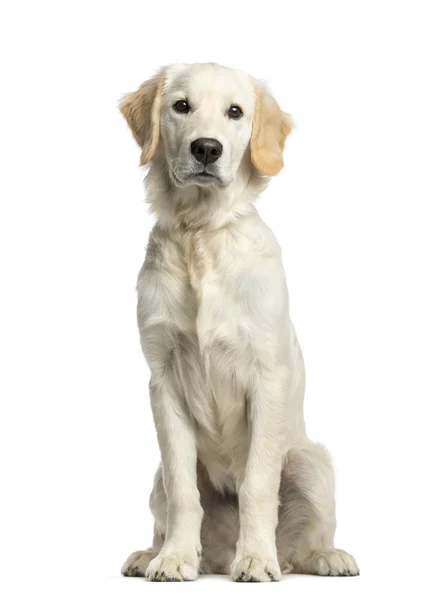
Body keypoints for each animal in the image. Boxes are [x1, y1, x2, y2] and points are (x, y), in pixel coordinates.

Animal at [119, 62, 358, 580]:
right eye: (181, 106)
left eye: (236, 112)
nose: (206, 149)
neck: (201, 234)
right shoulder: (163, 380)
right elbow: (184, 492)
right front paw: (173, 559)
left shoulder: (267, 377)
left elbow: (257, 486)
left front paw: (256, 558)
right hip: (156, 479)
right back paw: (154, 552)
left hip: (311, 462)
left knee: (305, 544)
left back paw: (323, 556)